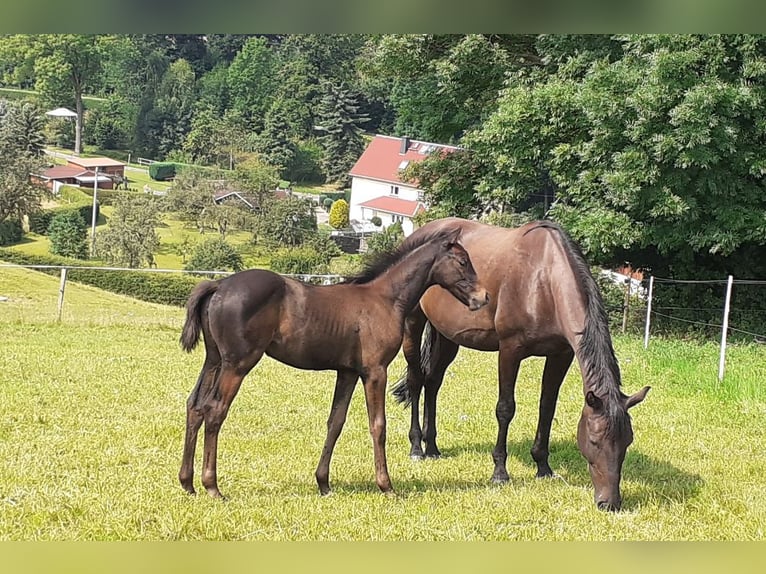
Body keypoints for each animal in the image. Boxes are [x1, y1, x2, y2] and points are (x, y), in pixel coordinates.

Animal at [179, 225, 488, 500]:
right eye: (463, 261)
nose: (483, 297)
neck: (386, 299)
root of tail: (218, 284)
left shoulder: (347, 372)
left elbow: (335, 422)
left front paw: (324, 483)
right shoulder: (375, 371)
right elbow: (378, 425)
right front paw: (386, 486)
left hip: (213, 360)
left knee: (195, 405)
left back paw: (188, 483)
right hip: (237, 364)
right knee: (215, 410)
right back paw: (212, 486)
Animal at [396, 217, 656, 512]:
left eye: (627, 441)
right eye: (594, 440)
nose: (609, 502)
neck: (543, 281)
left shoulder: (561, 355)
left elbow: (547, 408)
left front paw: (543, 466)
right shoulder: (510, 351)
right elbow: (505, 409)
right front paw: (500, 472)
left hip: (448, 336)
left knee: (433, 382)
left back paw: (432, 447)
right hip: (413, 323)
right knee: (416, 380)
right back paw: (417, 448)